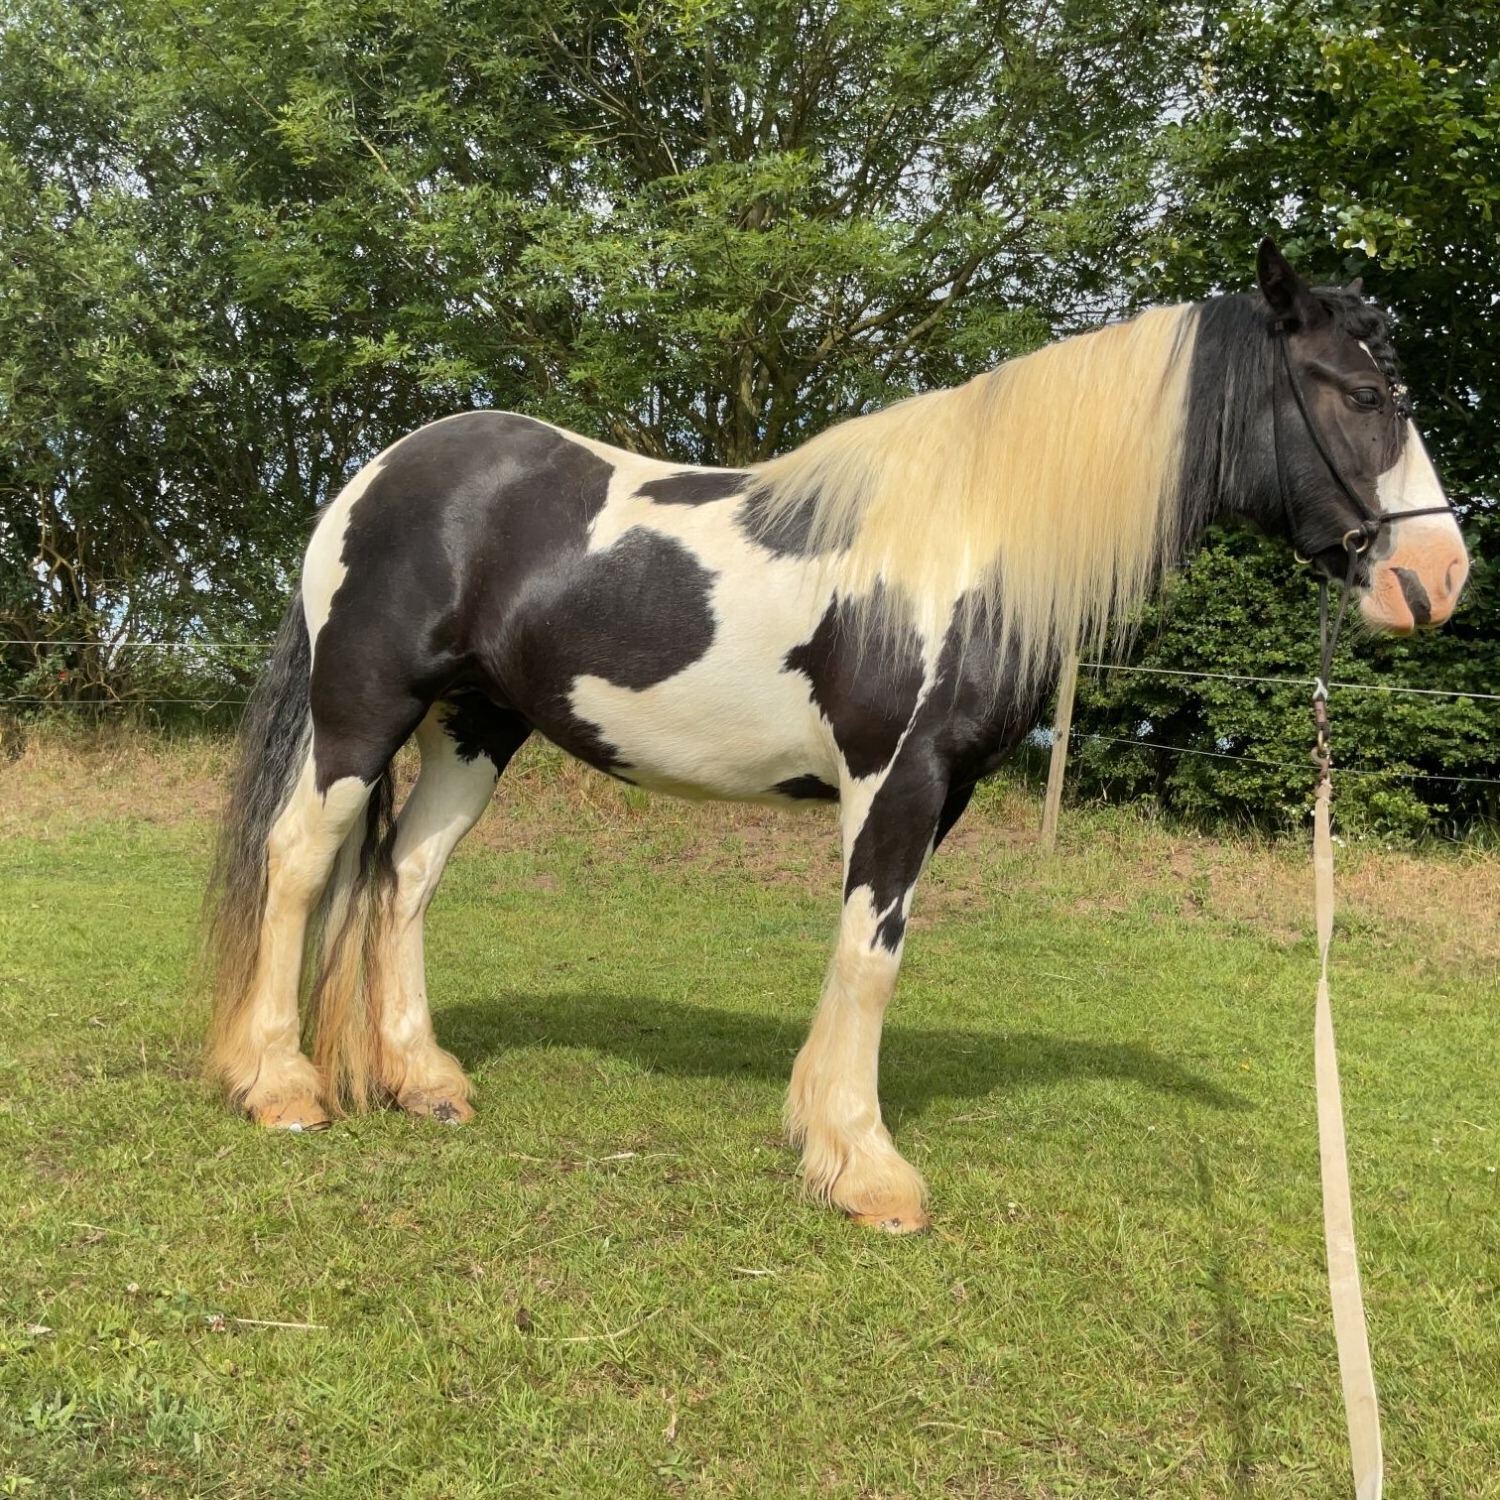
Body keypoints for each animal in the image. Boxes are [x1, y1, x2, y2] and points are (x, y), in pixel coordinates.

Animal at [207, 240, 1468, 1233]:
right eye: (1363, 393)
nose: (1440, 578)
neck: (971, 540)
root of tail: (377, 474)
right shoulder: (897, 780)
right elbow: (872, 955)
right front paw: (866, 1169)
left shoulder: (939, 793)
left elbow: (864, 954)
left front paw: (827, 1134)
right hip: (361, 714)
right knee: (301, 864)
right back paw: (278, 1086)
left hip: (476, 727)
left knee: (406, 878)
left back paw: (422, 1079)